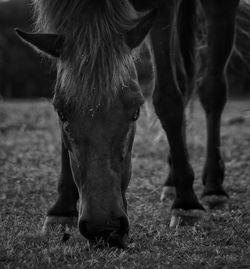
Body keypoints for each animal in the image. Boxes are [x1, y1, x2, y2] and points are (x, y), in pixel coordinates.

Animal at [16, 0, 240, 247]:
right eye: (61, 114)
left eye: (135, 112)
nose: (103, 229)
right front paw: (62, 208)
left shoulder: (163, 9)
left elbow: (168, 99)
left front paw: (187, 205)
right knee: (183, 80)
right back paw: (172, 181)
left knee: (212, 89)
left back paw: (213, 189)